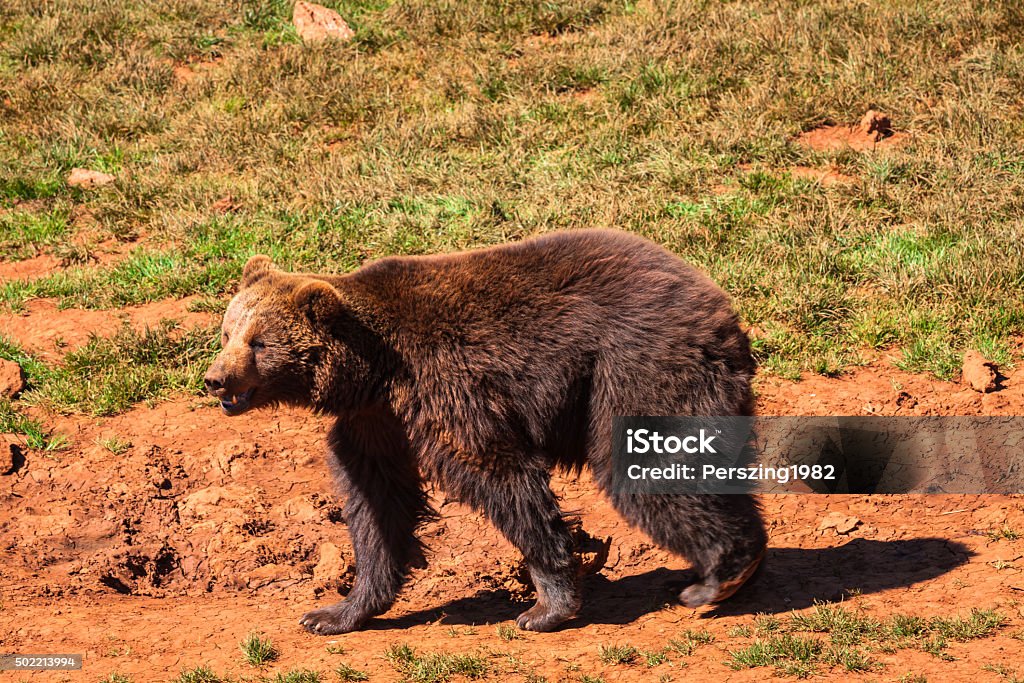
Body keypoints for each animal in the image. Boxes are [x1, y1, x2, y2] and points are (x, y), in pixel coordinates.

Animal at [203, 229, 765, 634]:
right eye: (228, 332)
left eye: (259, 342)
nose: (215, 379)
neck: (373, 370)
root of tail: (716, 300)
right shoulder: (377, 423)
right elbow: (376, 507)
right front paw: (335, 611)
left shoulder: (445, 385)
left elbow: (499, 472)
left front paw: (545, 605)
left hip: (635, 366)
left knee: (644, 463)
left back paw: (720, 575)